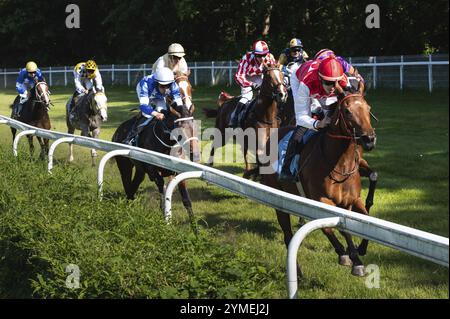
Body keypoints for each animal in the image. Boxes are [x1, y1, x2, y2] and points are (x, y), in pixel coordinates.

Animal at [260, 84, 376, 278]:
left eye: (368, 108)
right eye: (347, 111)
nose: (369, 139)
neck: (339, 163)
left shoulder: (353, 199)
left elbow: (365, 221)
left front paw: (358, 253)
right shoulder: (320, 200)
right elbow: (329, 228)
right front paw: (346, 255)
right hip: (279, 200)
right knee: (288, 236)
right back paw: (297, 272)